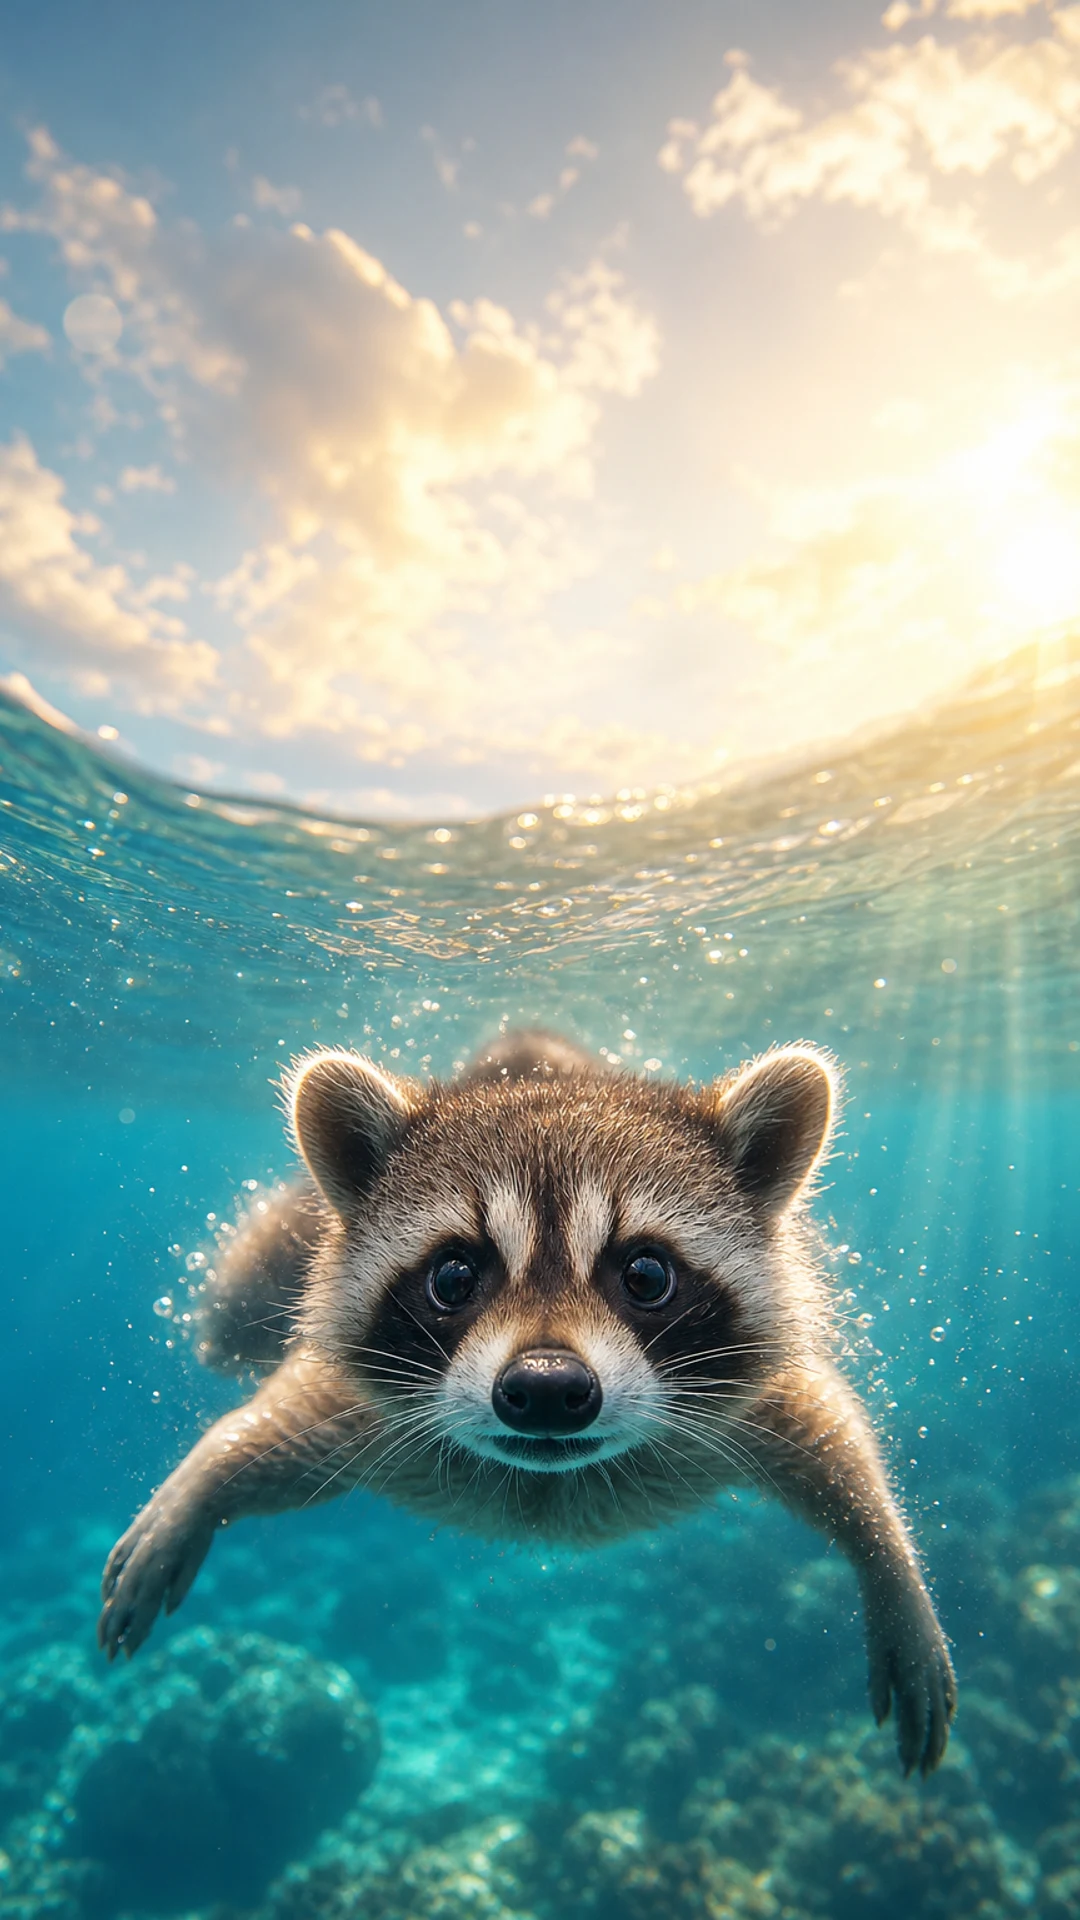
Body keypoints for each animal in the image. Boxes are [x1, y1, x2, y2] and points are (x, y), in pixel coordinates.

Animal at [98, 1032, 956, 1774]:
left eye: (646, 1275)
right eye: (453, 1276)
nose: (545, 1386)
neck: (550, 1482)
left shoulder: (740, 1406)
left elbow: (829, 1438)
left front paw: (894, 1575)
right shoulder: (376, 1417)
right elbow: (280, 1431)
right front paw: (201, 1482)